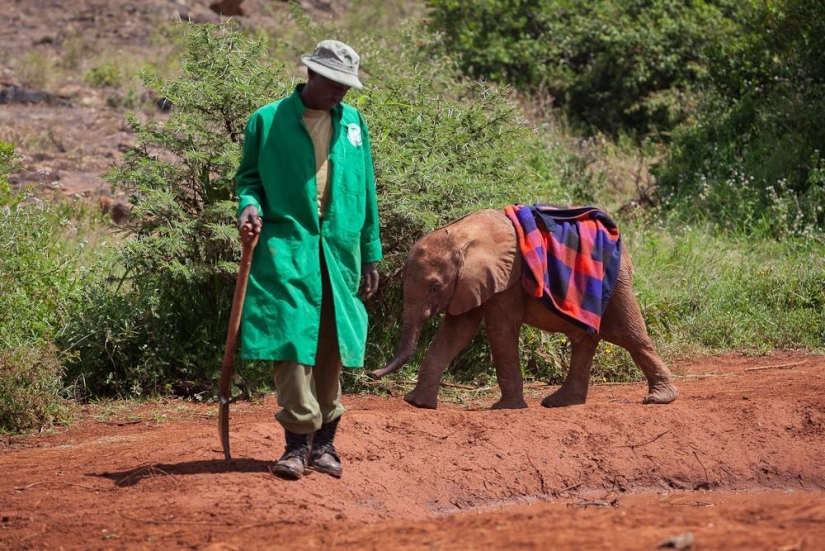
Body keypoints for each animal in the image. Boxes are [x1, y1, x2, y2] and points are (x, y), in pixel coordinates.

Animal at [370, 208, 679, 410]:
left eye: (435, 287)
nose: (371, 373)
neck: (462, 234)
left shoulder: (508, 277)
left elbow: (499, 330)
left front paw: (505, 408)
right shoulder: (472, 282)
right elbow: (456, 332)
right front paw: (418, 404)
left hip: (616, 282)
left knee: (627, 334)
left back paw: (659, 398)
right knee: (586, 338)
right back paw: (560, 402)